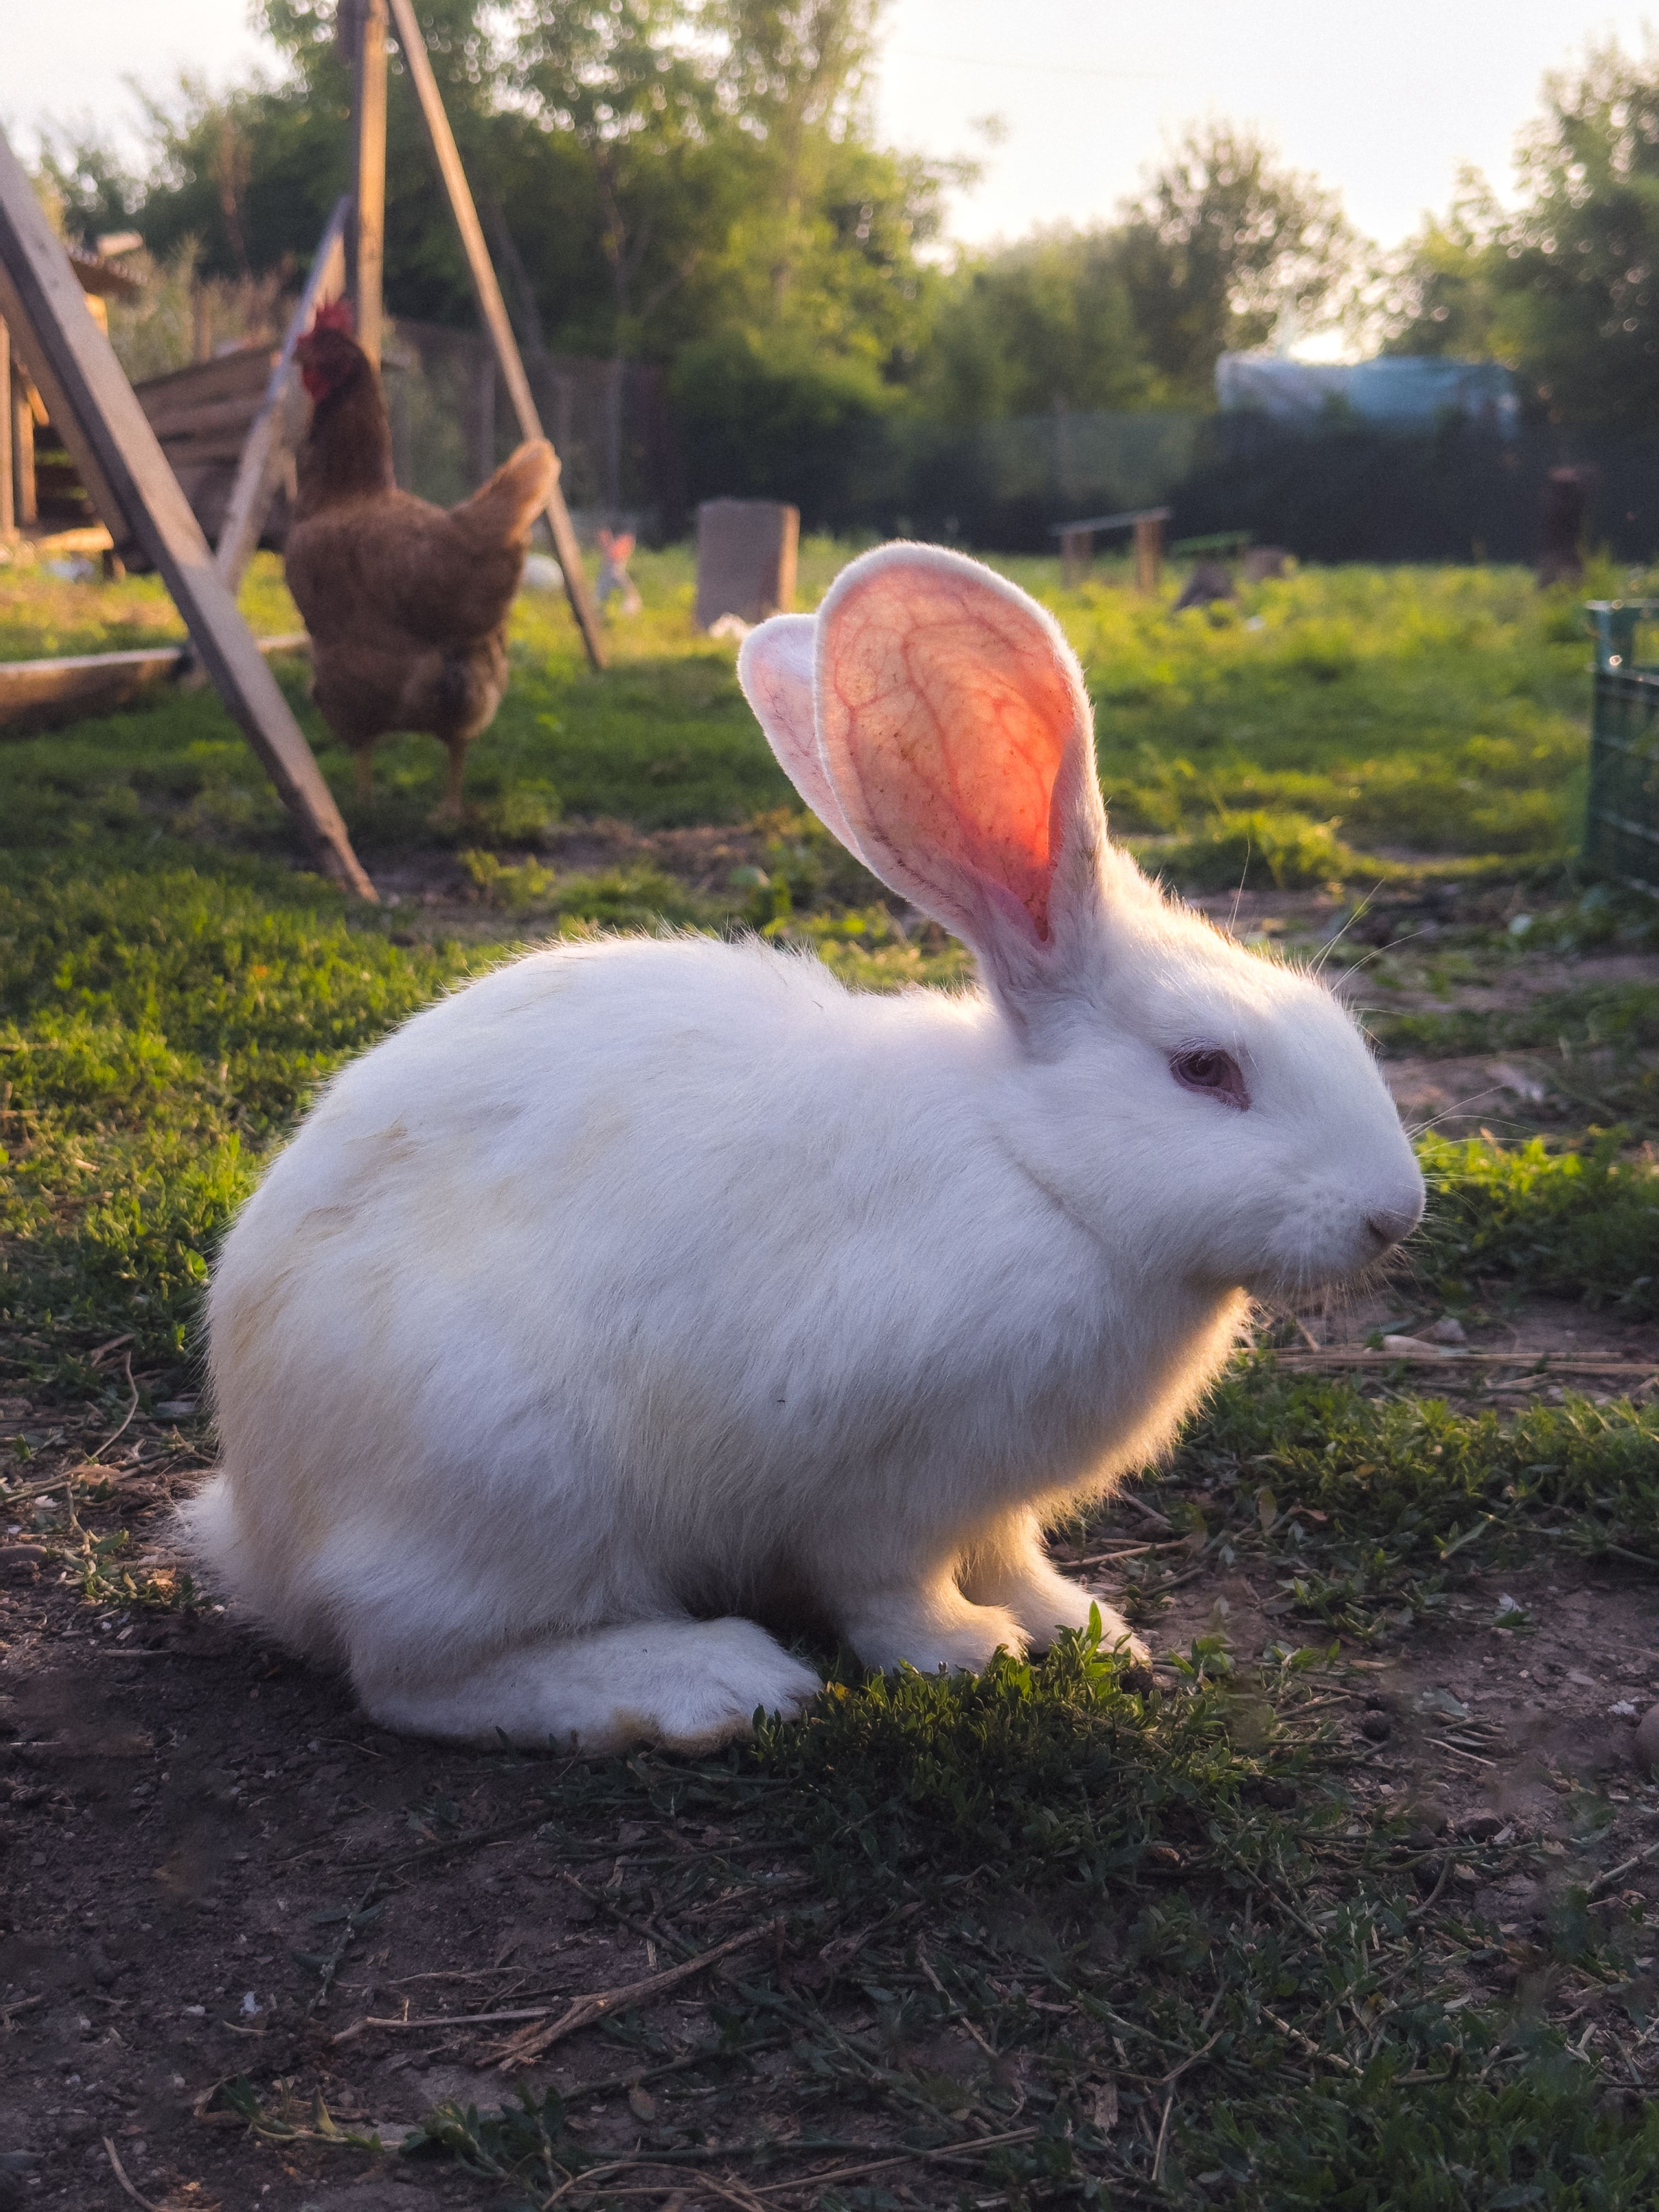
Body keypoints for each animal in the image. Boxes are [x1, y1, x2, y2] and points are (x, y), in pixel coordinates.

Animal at [182, 543, 1425, 1752]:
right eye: (1205, 1069)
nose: (1394, 1213)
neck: (1038, 1171)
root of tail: (265, 1530)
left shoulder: (997, 1500)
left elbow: (1012, 1556)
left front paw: (1083, 1626)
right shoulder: (883, 1487)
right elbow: (891, 1591)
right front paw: (971, 1653)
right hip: (509, 1479)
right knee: (416, 1675)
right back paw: (706, 1685)